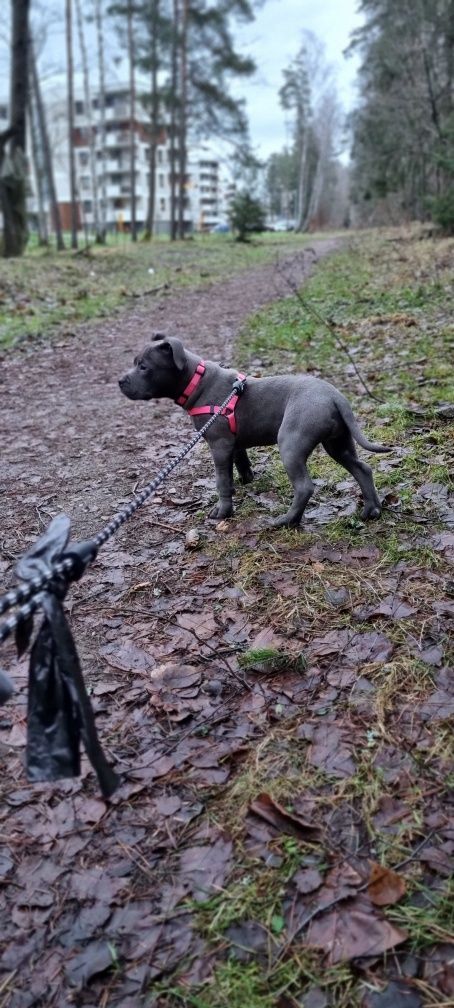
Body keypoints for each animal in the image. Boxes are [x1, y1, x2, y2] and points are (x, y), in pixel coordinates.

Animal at [119, 336, 387, 528]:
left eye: (143, 366)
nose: (120, 381)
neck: (197, 380)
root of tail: (334, 396)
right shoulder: (233, 444)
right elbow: (239, 464)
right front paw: (245, 481)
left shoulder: (219, 444)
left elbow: (221, 480)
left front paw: (223, 511)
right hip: (338, 443)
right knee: (362, 469)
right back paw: (371, 510)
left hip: (291, 443)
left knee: (304, 487)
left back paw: (286, 521)